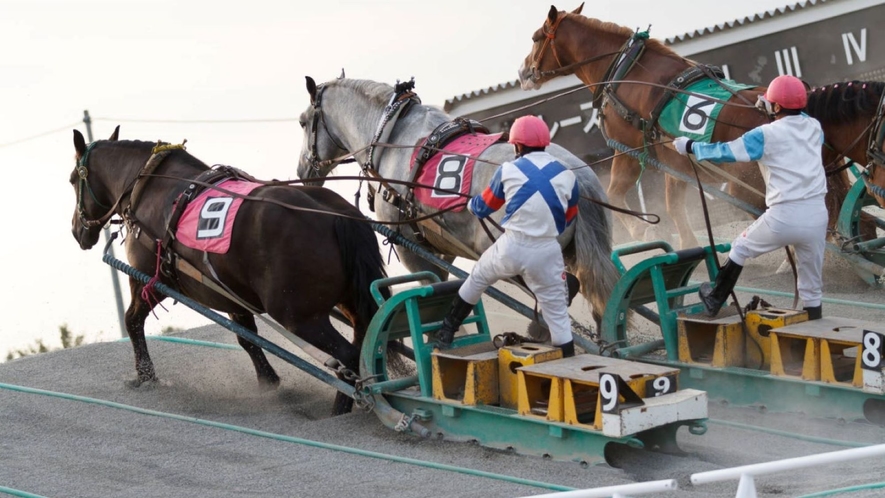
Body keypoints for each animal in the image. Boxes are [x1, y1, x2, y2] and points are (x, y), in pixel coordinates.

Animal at [69, 126, 386, 414]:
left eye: (73, 179)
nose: (76, 230)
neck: (150, 187)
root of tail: (337, 215)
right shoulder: (231, 294)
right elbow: (247, 338)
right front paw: (268, 381)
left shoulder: (149, 280)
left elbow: (132, 320)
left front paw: (145, 376)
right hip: (351, 304)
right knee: (366, 343)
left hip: (299, 317)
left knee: (348, 357)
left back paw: (344, 407)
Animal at [296, 76, 616, 328]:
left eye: (302, 122)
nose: (302, 171)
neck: (391, 136)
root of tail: (578, 178)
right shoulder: (441, 248)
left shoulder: (414, 252)